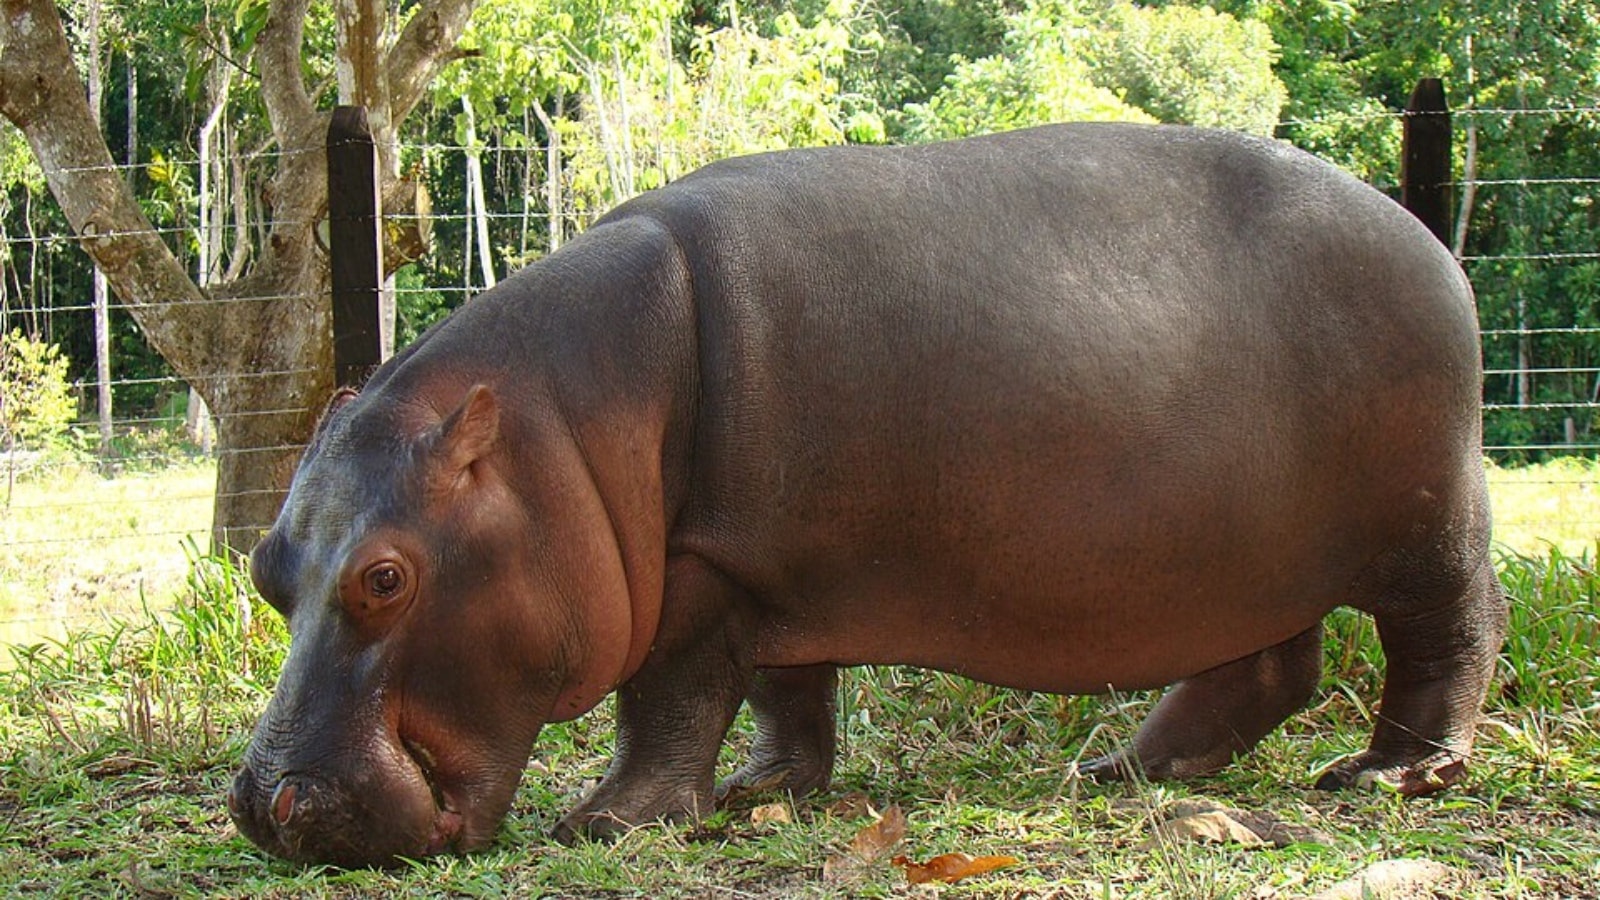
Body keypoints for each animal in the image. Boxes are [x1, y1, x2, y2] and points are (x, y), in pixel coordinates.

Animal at [228, 122, 1507, 867]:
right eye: (264, 568)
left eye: (385, 576)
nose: (266, 807)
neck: (559, 434)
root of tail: (1426, 235)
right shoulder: (772, 566)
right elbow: (787, 691)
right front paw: (763, 794)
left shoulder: (704, 565)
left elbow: (671, 696)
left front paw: (606, 820)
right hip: (1243, 554)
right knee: (1268, 664)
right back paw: (1126, 768)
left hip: (1421, 522)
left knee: (1449, 630)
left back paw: (1393, 775)